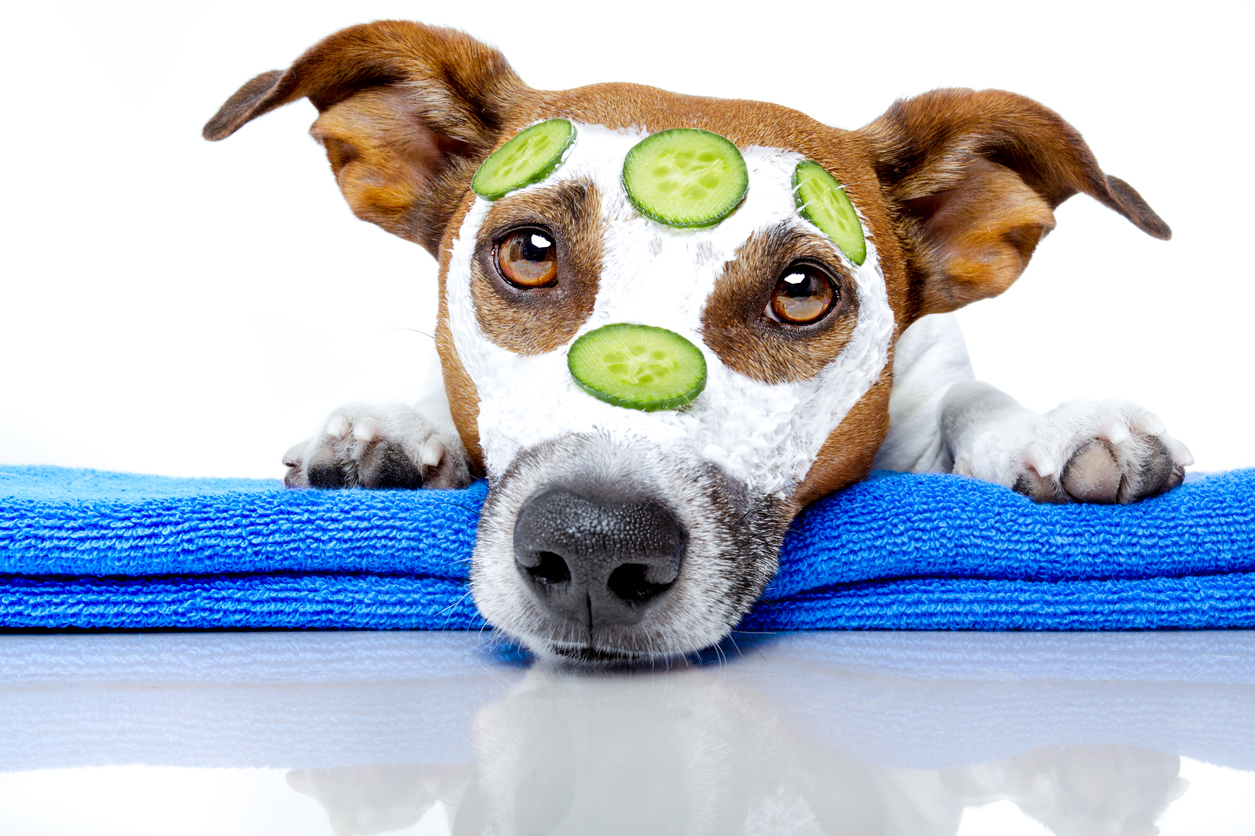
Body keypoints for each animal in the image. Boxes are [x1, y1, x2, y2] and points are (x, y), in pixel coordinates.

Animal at [200, 19, 1189, 662]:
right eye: (527, 253)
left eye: (801, 291)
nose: (594, 549)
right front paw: (390, 433)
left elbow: (972, 400)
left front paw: (1049, 429)